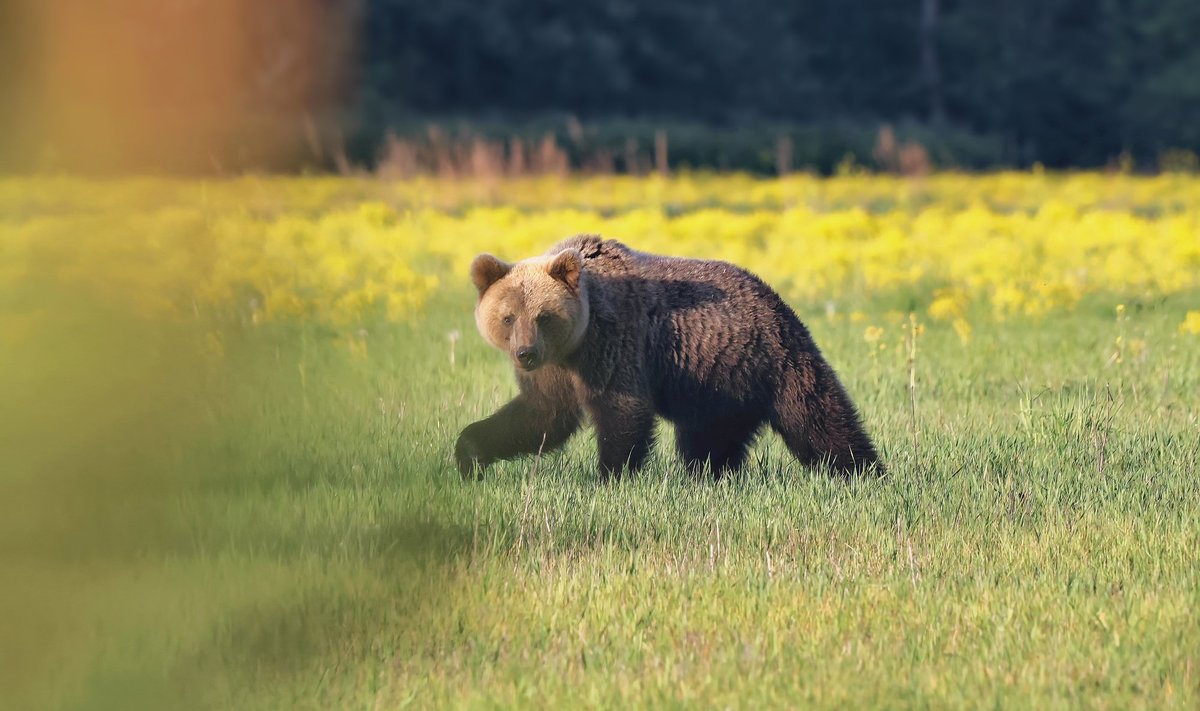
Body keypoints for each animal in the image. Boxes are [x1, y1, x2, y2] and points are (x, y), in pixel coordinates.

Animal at [453, 237, 888, 478]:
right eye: (508, 317)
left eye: (544, 315)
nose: (525, 353)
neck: (573, 346)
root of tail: (775, 300)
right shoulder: (555, 371)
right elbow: (539, 416)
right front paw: (468, 455)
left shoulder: (613, 344)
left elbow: (622, 411)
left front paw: (610, 475)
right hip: (718, 384)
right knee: (709, 440)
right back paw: (709, 476)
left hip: (768, 359)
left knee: (818, 419)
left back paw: (865, 472)